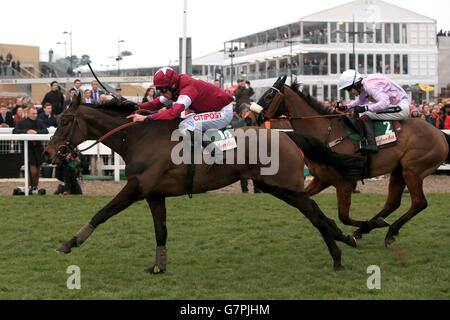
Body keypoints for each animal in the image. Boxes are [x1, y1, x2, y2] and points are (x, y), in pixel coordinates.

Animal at [43, 94, 366, 272]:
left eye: (65, 120)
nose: (48, 152)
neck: (139, 138)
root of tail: (287, 135)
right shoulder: (153, 194)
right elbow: (161, 231)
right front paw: (158, 267)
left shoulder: (135, 188)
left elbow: (102, 213)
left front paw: (69, 243)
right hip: (277, 187)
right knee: (317, 214)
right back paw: (345, 241)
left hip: (286, 186)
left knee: (316, 215)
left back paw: (339, 255)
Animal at [248, 77, 448, 248]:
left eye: (268, 95)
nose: (249, 117)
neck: (327, 133)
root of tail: (440, 134)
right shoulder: (321, 179)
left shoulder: (345, 182)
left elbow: (343, 216)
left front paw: (360, 228)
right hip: (399, 170)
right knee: (392, 202)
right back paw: (373, 229)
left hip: (412, 169)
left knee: (419, 203)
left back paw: (387, 230)